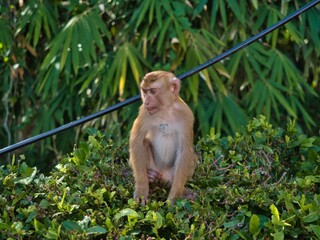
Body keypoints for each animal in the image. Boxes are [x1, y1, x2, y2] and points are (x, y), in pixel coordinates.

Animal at [129, 70, 196, 203]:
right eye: (145, 91)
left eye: (153, 91)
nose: (146, 102)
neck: (165, 110)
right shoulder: (144, 112)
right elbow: (136, 141)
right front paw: (141, 189)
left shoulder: (187, 114)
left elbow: (185, 150)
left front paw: (174, 197)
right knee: (144, 142)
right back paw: (150, 176)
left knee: (191, 156)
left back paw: (183, 191)